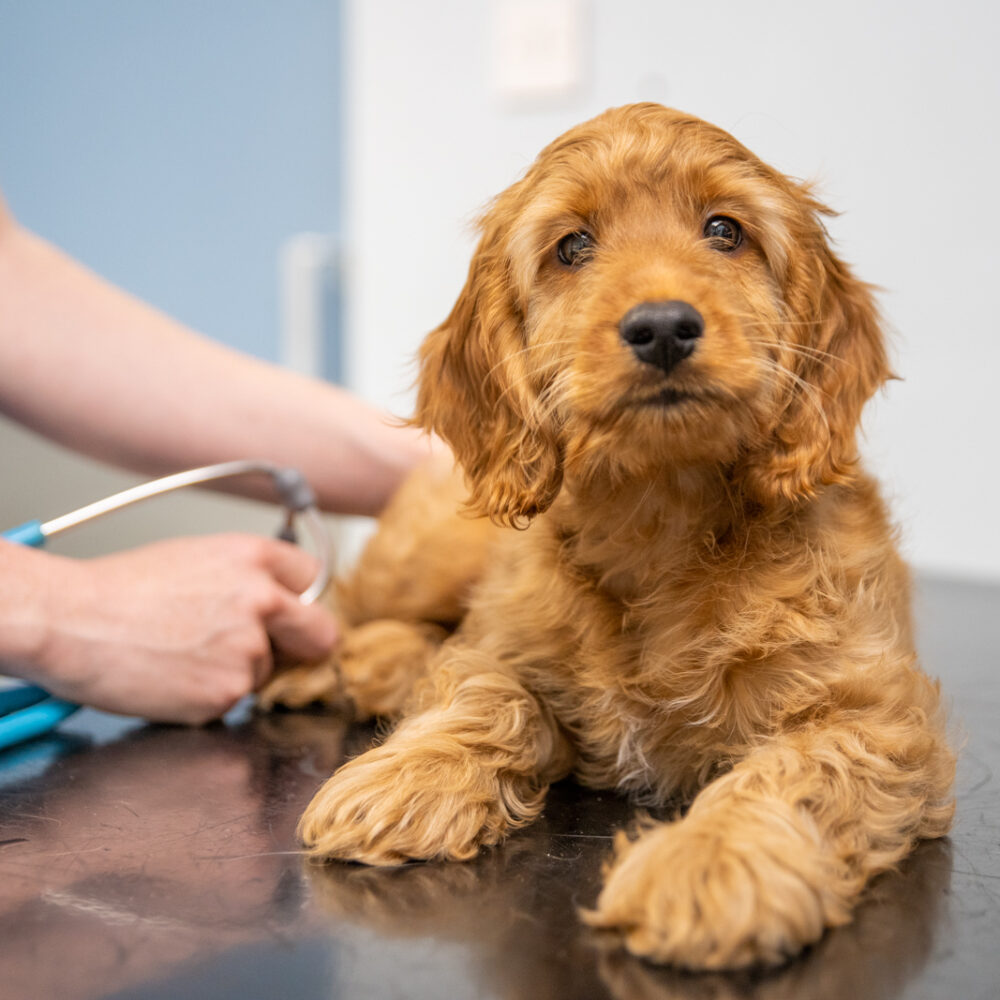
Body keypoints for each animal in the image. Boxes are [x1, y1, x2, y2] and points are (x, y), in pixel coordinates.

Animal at [270, 107, 956, 968]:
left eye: (725, 230)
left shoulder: (877, 713)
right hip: (423, 557)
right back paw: (316, 663)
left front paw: (710, 862)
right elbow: (485, 692)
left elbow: (801, 767)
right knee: (349, 602)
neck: (659, 514)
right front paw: (405, 778)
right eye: (572, 246)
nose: (662, 327)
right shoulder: (493, 641)